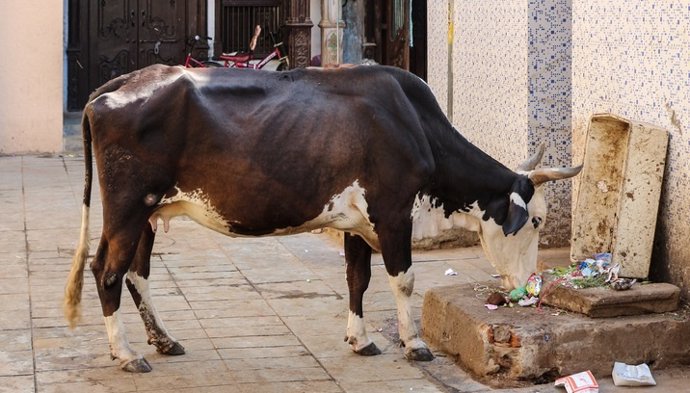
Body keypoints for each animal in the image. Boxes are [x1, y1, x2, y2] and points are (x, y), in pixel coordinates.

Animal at [64, 64, 580, 370]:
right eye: (535, 221)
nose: (530, 284)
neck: (414, 123)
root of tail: (122, 83)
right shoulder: (393, 211)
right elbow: (402, 280)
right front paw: (414, 345)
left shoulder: (357, 221)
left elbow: (357, 279)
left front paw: (361, 339)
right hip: (128, 207)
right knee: (106, 270)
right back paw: (126, 353)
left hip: (149, 213)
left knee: (136, 273)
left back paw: (163, 341)